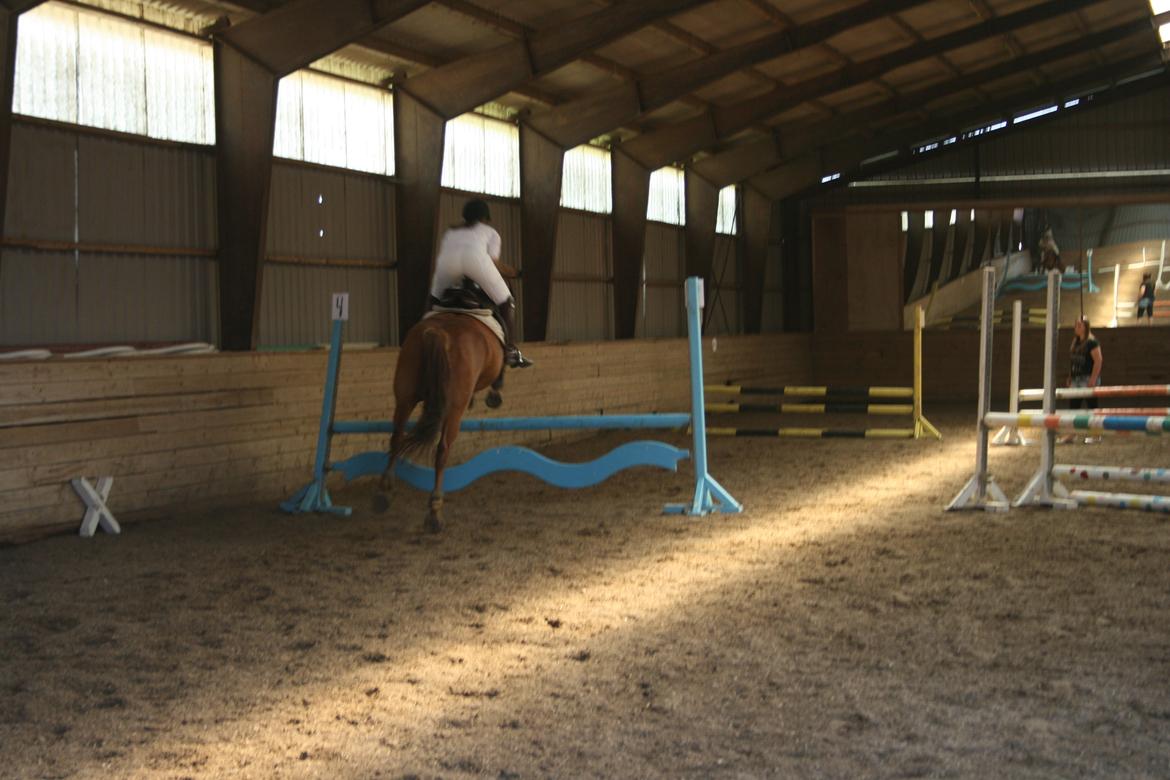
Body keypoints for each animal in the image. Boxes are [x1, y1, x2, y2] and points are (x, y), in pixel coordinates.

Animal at [374, 313, 503, 533]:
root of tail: (437, 332)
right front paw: (494, 395)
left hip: (405, 396)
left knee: (396, 437)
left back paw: (385, 488)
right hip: (453, 409)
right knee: (442, 450)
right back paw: (435, 511)